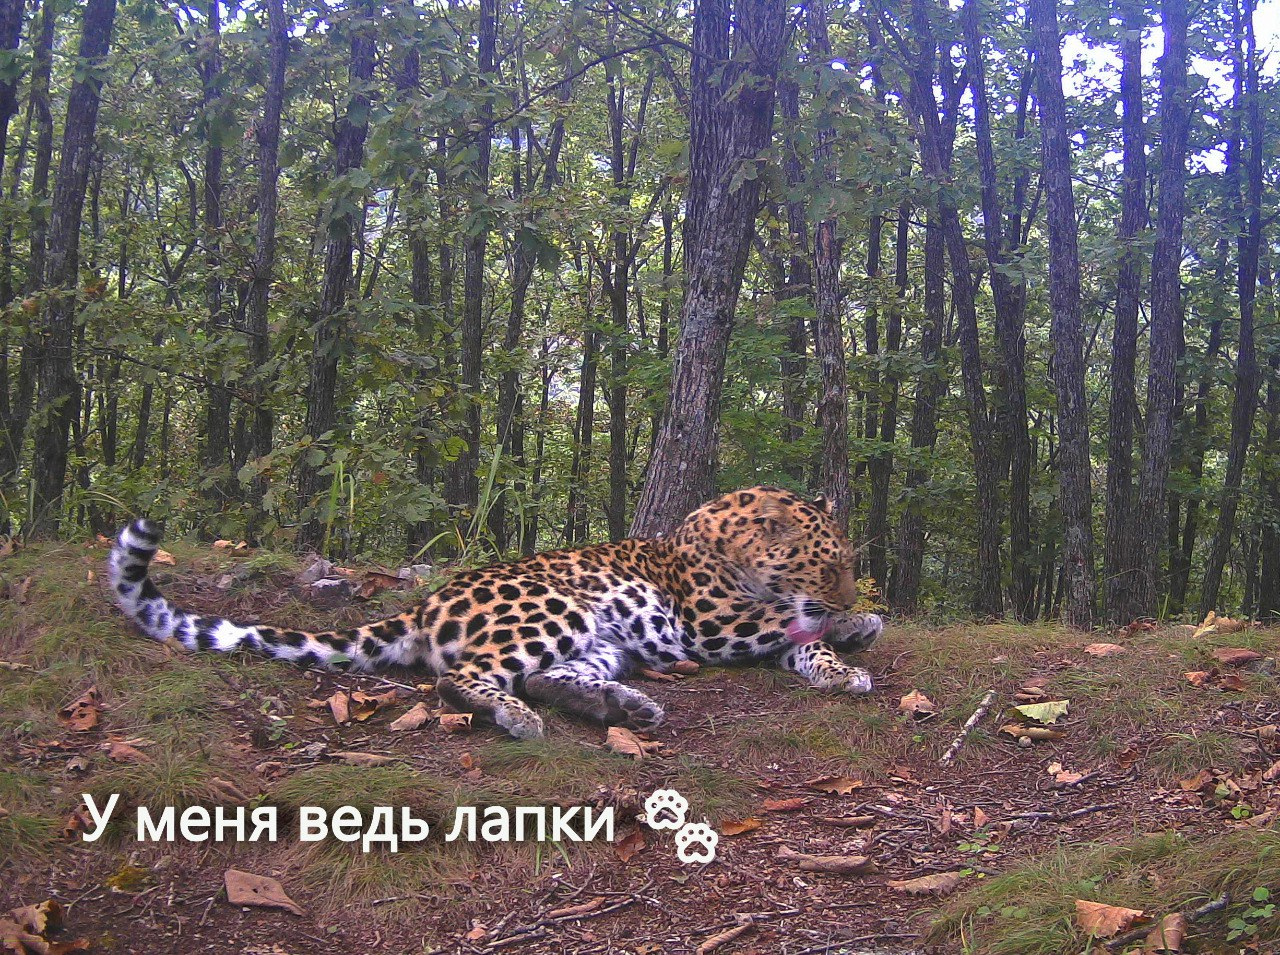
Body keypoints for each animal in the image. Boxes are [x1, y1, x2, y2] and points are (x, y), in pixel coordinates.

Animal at [110, 483, 885, 737]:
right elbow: (789, 624)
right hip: (555, 608)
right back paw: (516, 717)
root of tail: (427, 602)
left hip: (601, 639)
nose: (852, 592)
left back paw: (621, 706)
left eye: (849, 563)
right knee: (463, 678)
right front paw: (847, 632)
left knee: (547, 677)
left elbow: (804, 635)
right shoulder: (711, 622)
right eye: (828, 563)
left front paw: (848, 645)